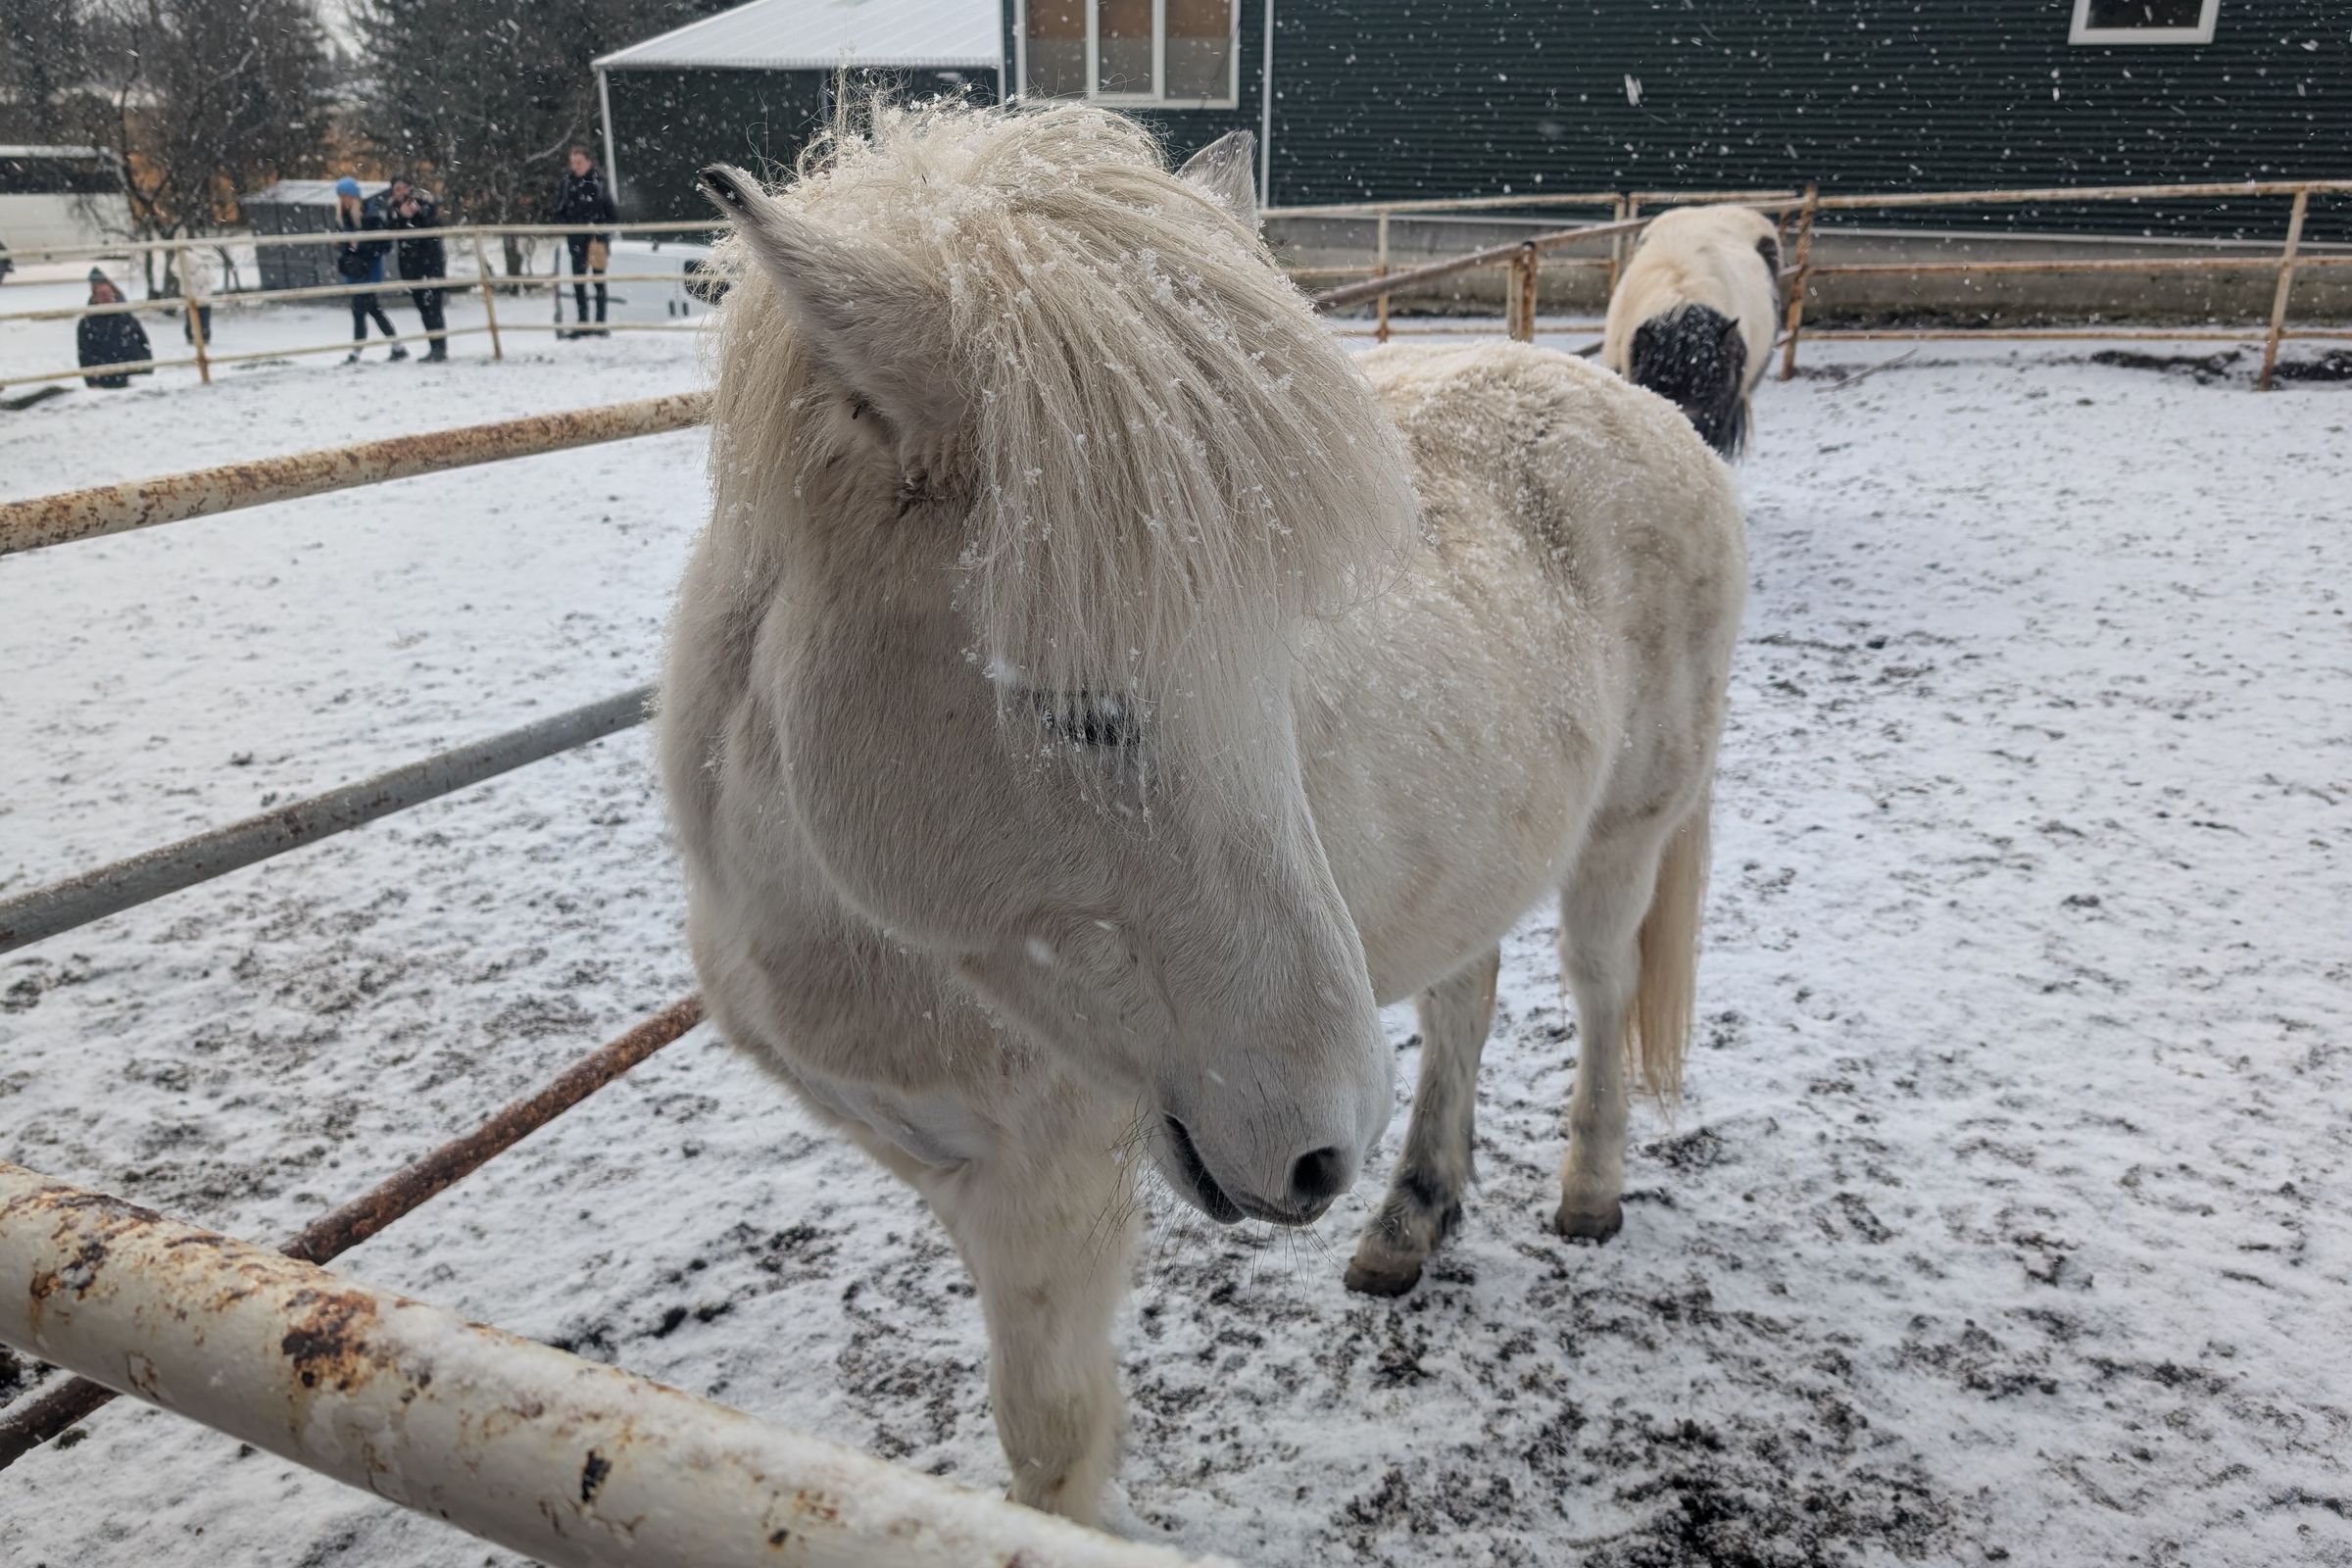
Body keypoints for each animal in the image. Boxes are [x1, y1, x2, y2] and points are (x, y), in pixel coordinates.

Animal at [660, 101, 1746, 1524]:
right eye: (1075, 704)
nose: (1320, 1148)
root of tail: (1653, 413)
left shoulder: (1047, 1193)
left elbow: (1051, 1454)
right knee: (1467, 999)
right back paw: (1409, 1219)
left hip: (1623, 837)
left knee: (1601, 985)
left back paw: (1589, 1193)